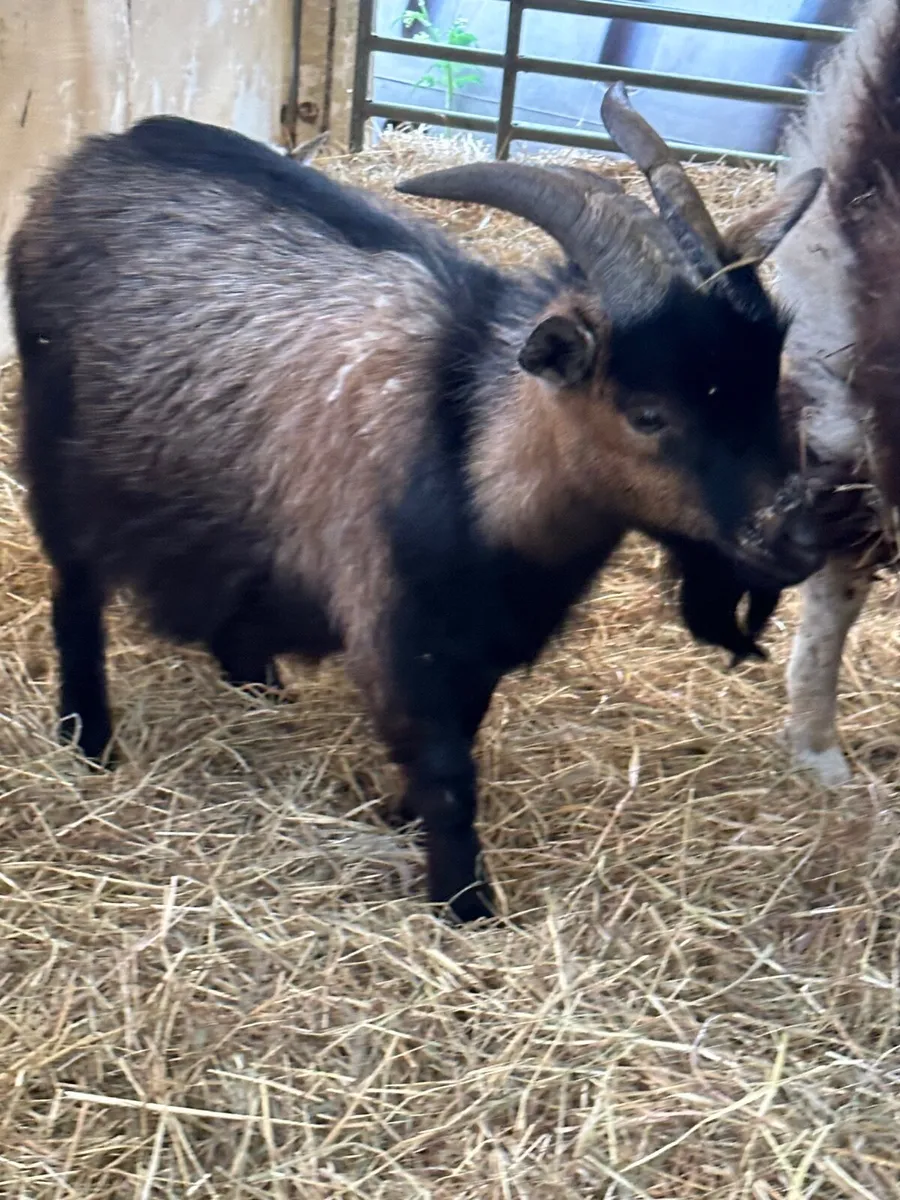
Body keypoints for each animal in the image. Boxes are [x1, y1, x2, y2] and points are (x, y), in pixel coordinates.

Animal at [7, 85, 824, 920]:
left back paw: (257, 684)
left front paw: (404, 819)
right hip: (60, 451)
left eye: (768, 383)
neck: (473, 452)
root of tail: (92, 160)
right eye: (649, 413)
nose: (797, 538)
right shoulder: (397, 626)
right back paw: (88, 736)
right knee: (75, 591)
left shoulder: (477, 637)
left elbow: (465, 728)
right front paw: (465, 903)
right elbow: (447, 770)